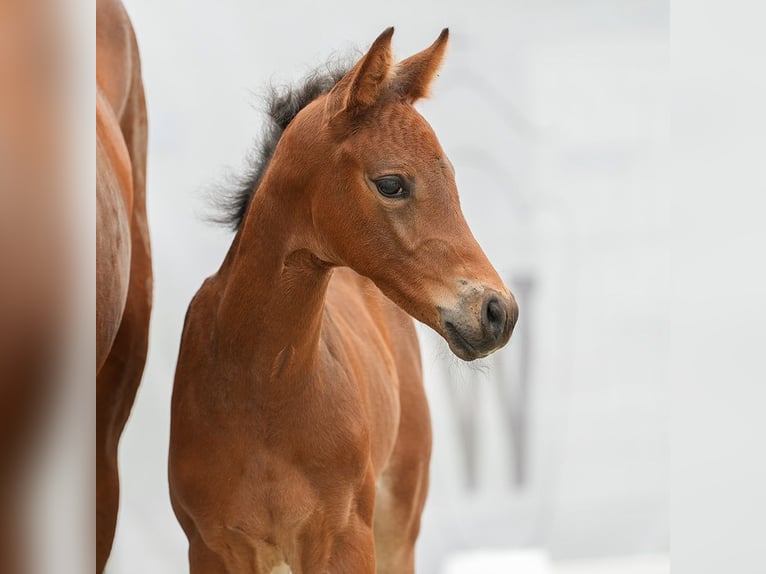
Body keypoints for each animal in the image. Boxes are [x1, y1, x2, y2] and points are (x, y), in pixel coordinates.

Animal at [170, 29, 520, 572]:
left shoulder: (345, 539)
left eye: (451, 177)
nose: (497, 311)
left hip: (399, 520)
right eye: (391, 183)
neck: (261, 389)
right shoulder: (211, 548)